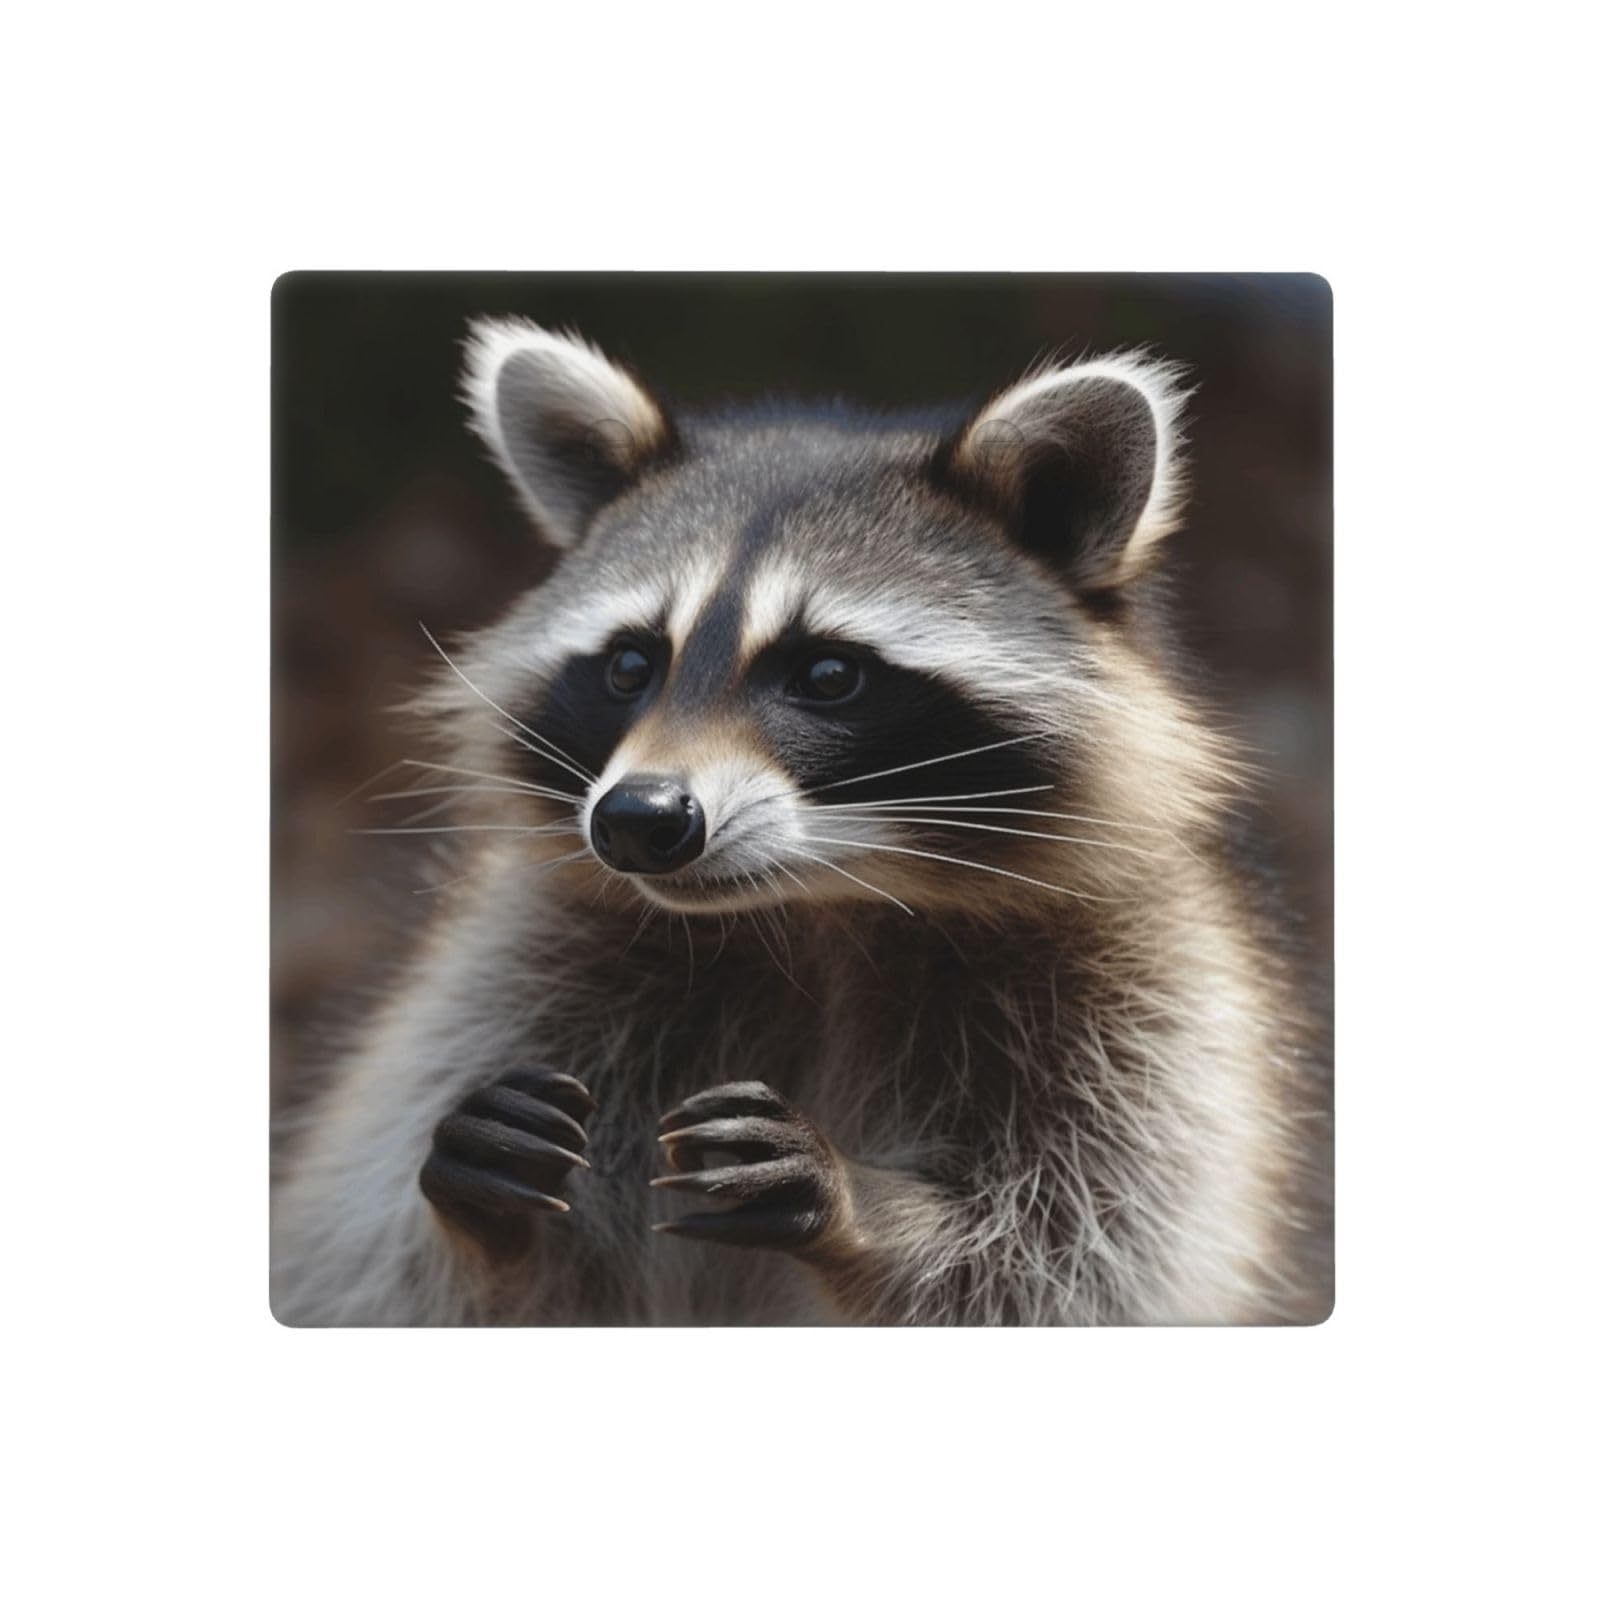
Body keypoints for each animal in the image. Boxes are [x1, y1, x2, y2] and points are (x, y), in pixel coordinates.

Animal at [270, 318, 1331, 1327]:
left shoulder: (1144, 998)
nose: (637, 819)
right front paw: (487, 1226)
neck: (815, 907)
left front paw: (870, 1213)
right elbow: (396, 1259)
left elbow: (1075, 1253)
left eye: (827, 674)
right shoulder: (527, 964)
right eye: (630, 665)